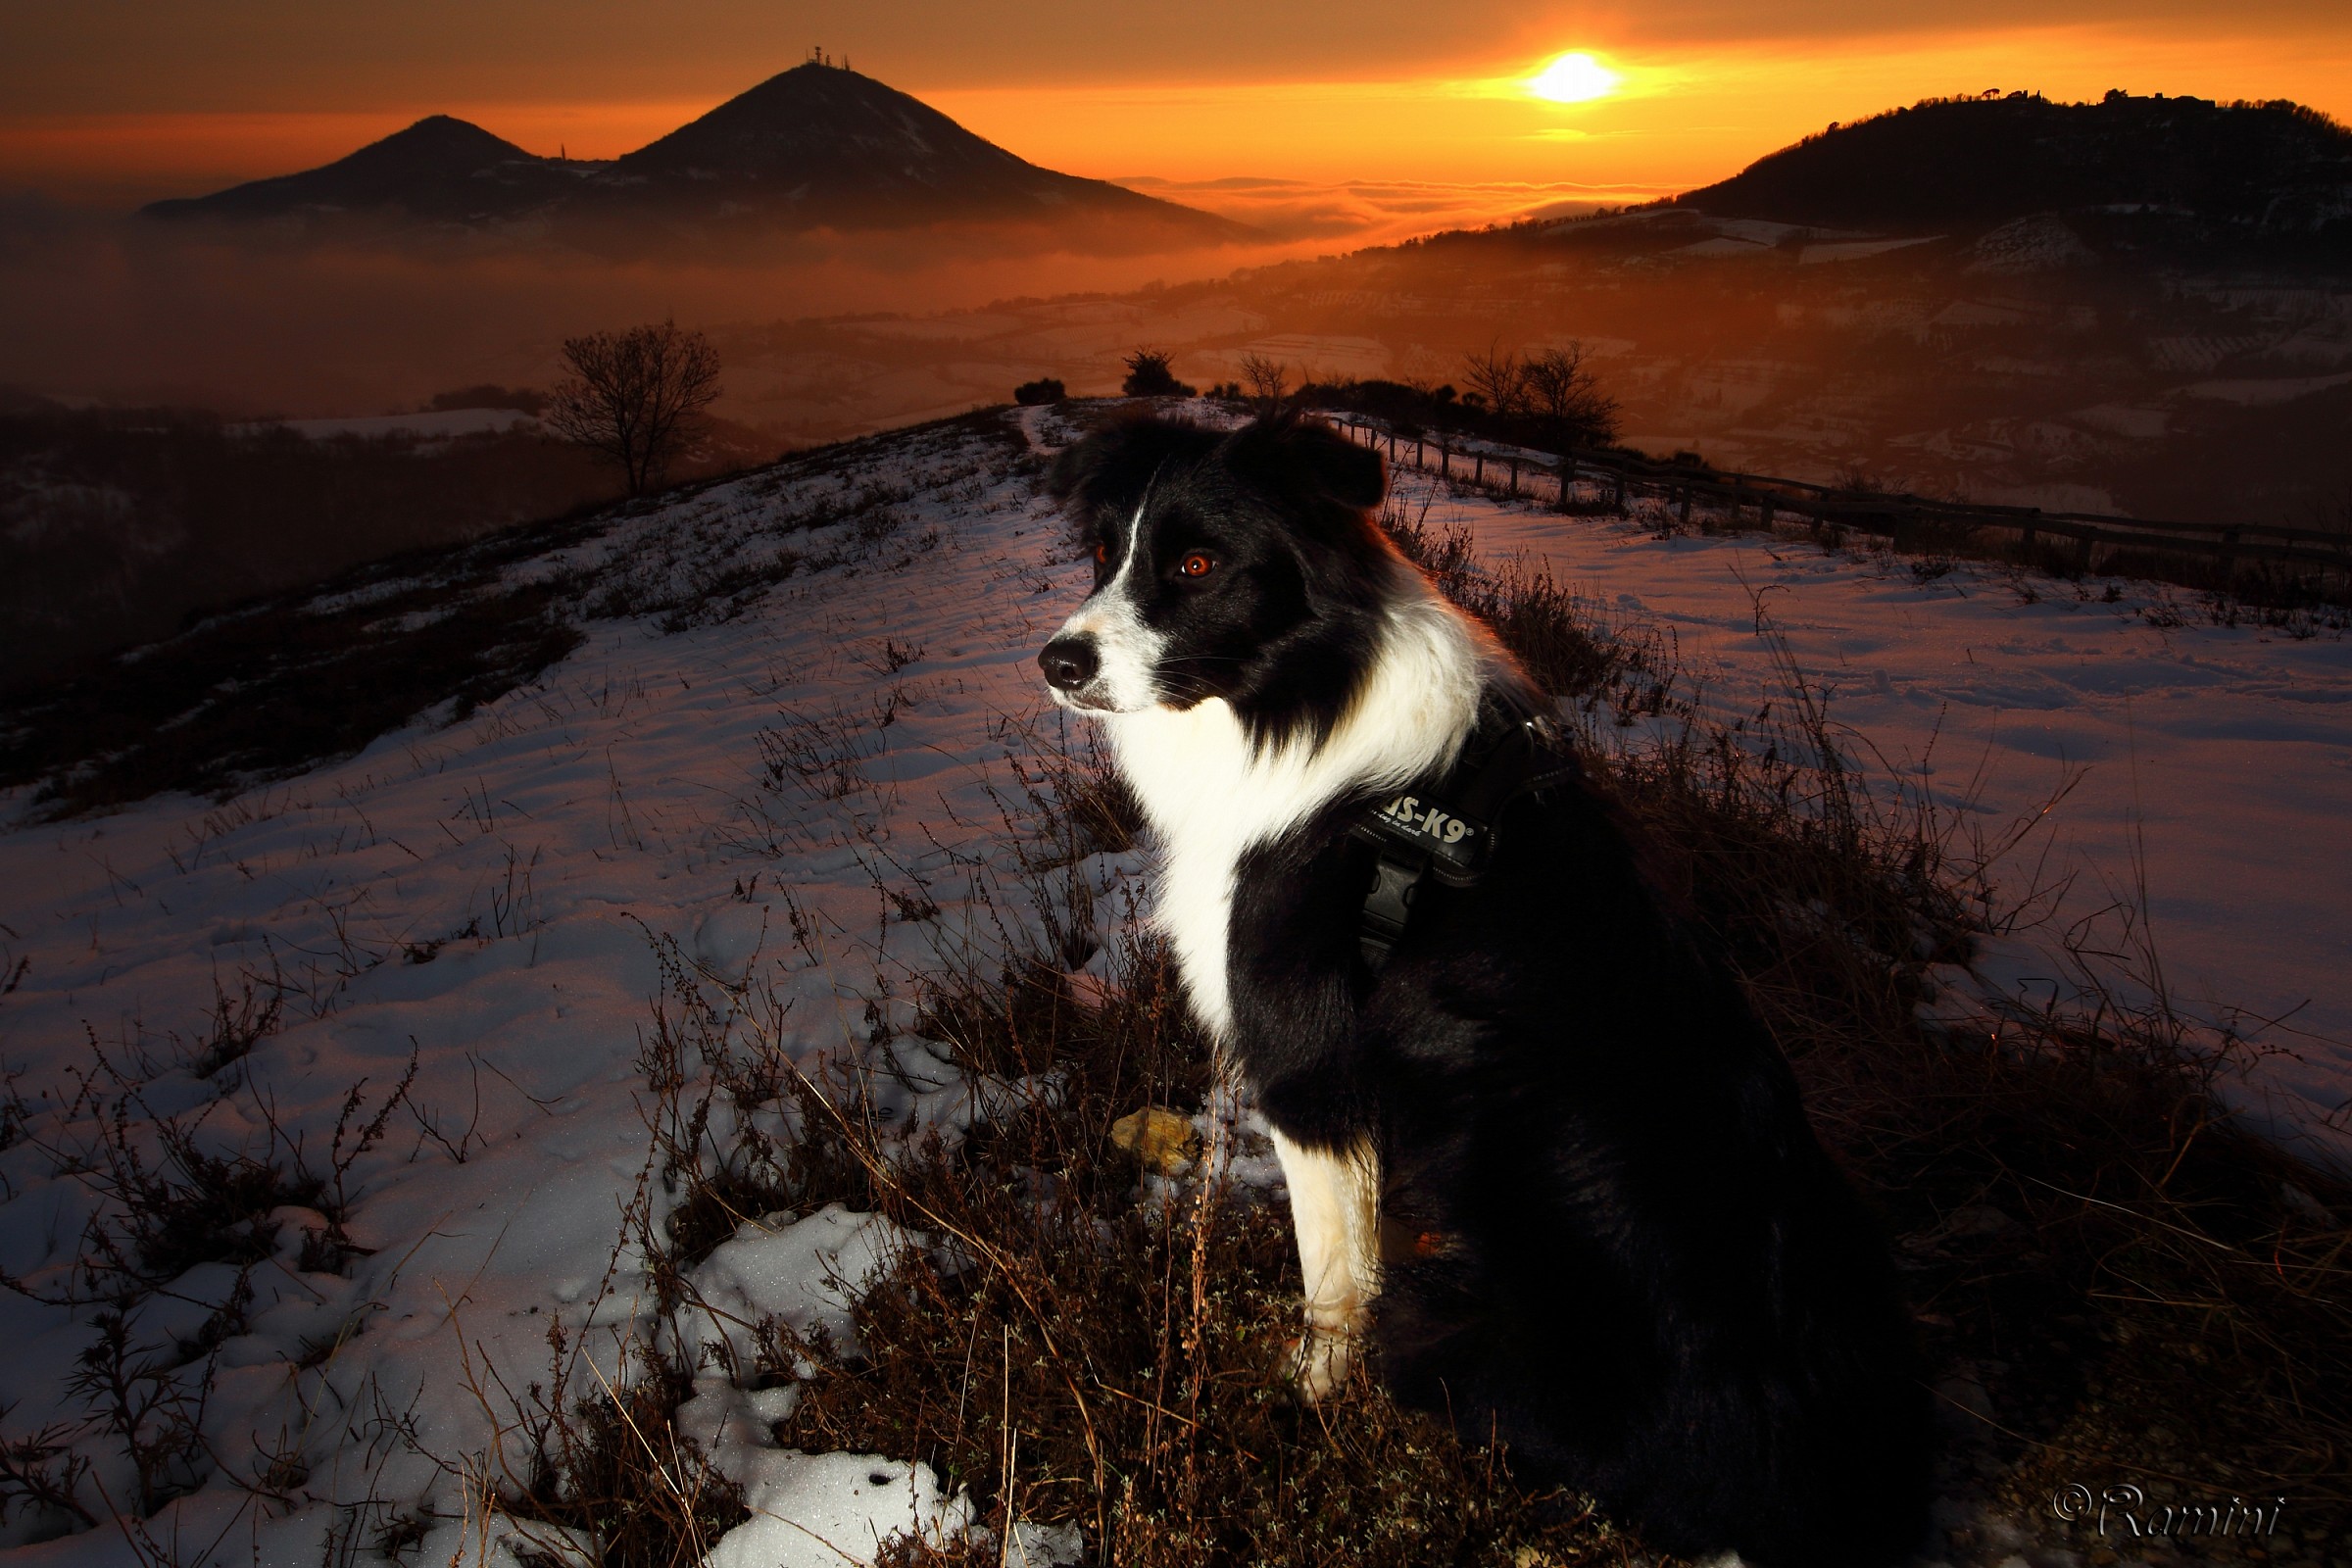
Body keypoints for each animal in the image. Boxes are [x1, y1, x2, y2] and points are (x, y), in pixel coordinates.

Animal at [1039, 411, 1919, 1560]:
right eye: (1105, 554)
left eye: (1194, 565)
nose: (1055, 662)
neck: (1304, 698)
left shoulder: (1308, 1075)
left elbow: (1334, 1277)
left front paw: (1309, 1393)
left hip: (1460, 1318)